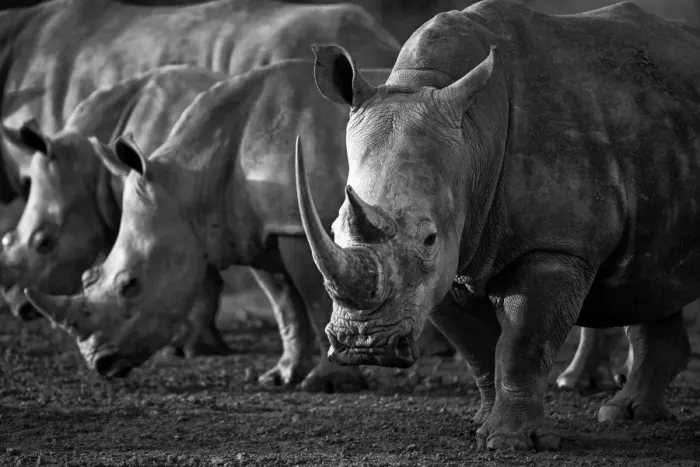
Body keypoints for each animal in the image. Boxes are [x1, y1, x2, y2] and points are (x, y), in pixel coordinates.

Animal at [290, 0, 698, 451]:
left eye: (429, 238)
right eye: (334, 229)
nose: (364, 343)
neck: (473, 138)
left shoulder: (553, 245)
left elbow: (523, 342)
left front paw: (511, 442)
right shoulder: (454, 257)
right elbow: (478, 350)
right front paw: (482, 426)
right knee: (652, 273)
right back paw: (628, 414)